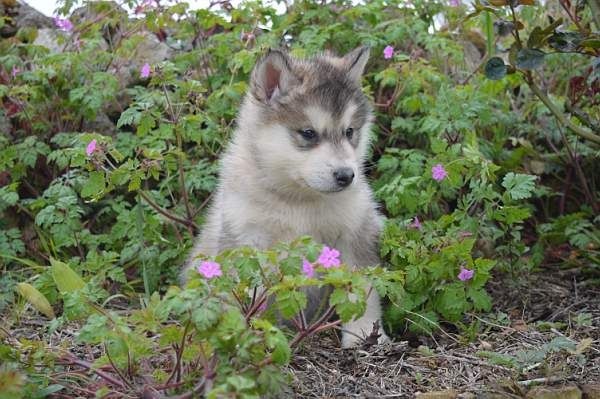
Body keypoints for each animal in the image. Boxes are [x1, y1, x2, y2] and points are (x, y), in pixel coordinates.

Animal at [184, 46, 390, 346]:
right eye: (308, 133)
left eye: (350, 131)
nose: (346, 176)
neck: (299, 201)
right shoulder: (248, 241)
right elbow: (248, 293)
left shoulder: (356, 233)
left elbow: (361, 291)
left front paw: (365, 336)